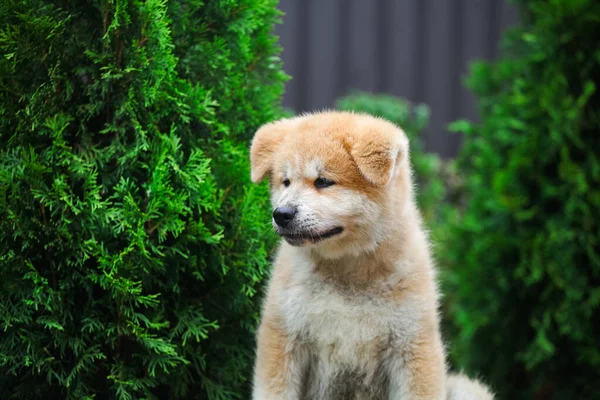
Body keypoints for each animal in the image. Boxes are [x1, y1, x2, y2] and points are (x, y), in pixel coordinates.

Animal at [248, 110, 492, 400]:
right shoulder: (285, 334)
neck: (348, 271)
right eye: (285, 182)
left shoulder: (412, 342)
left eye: (323, 181)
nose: (281, 214)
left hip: (466, 388)